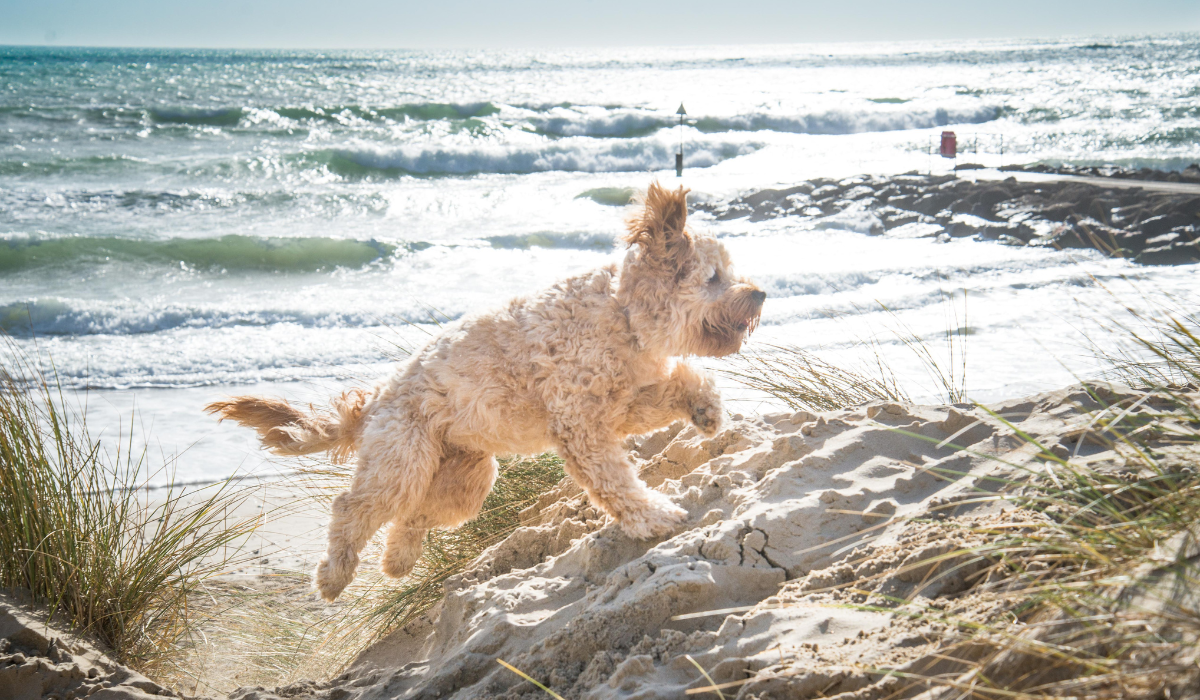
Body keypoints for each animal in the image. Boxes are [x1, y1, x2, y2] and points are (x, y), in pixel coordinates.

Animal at [206, 182, 763, 602]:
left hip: (464, 480)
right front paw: (654, 516)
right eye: (715, 278)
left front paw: (706, 411)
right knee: (353, 507)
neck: (621, 314)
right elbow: (616, 482)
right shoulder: (581, 425)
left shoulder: (619, 405)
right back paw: (334, 575)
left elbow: (688, 380)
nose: (760, 293)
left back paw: (396, 563)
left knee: (413, 518)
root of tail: (377, 400)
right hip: (402, 464)